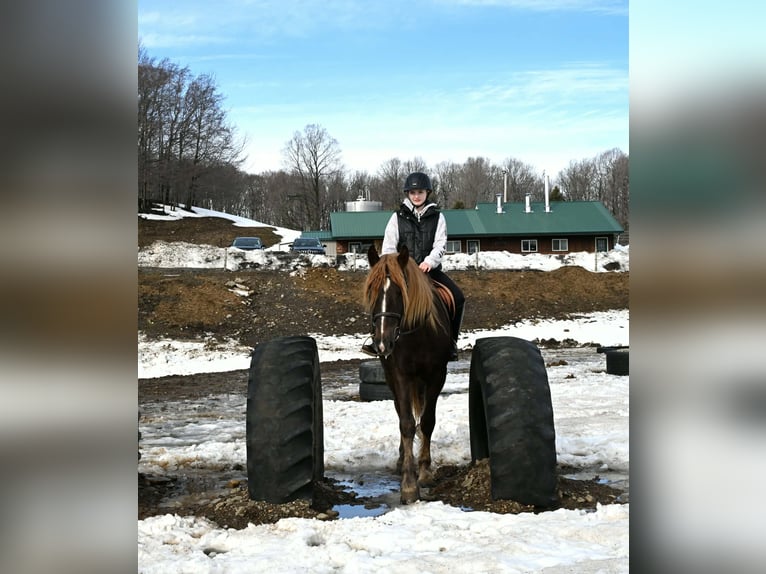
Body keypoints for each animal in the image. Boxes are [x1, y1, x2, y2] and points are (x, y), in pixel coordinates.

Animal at [362, 245, 453, 503]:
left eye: (399, 292)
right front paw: (409, 484)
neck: (417, 335)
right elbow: (407, 424)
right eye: (372, 292)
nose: (382, 343)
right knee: (401, 414)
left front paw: (425, 472)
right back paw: (402, 458)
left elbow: (427, 422)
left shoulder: (436, 375)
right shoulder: (401, 376)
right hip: (392, 378)